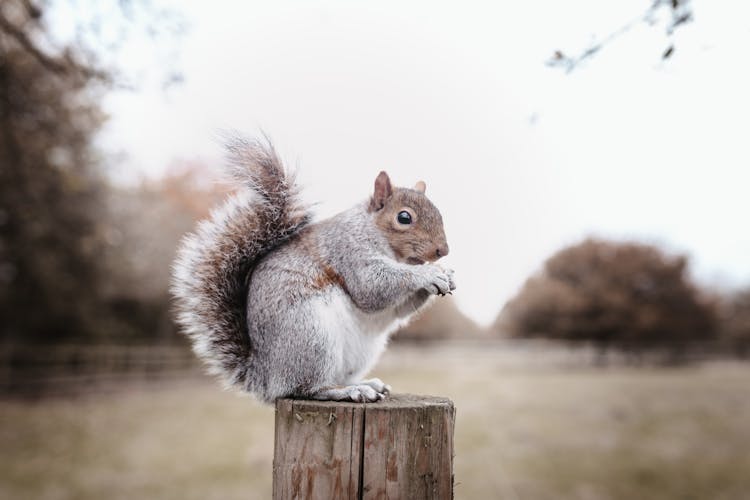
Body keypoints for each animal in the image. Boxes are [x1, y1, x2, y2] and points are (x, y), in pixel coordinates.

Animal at [173, 137, 456, 402]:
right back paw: (348, 391)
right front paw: (430, 274)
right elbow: (371, 288)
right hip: (311, 336)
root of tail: (266, 378)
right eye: (404, 217)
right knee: (307, 388)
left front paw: (447, 276)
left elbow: (397, 311)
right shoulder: (348, 251)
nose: (442, 251)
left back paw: (365, 384)